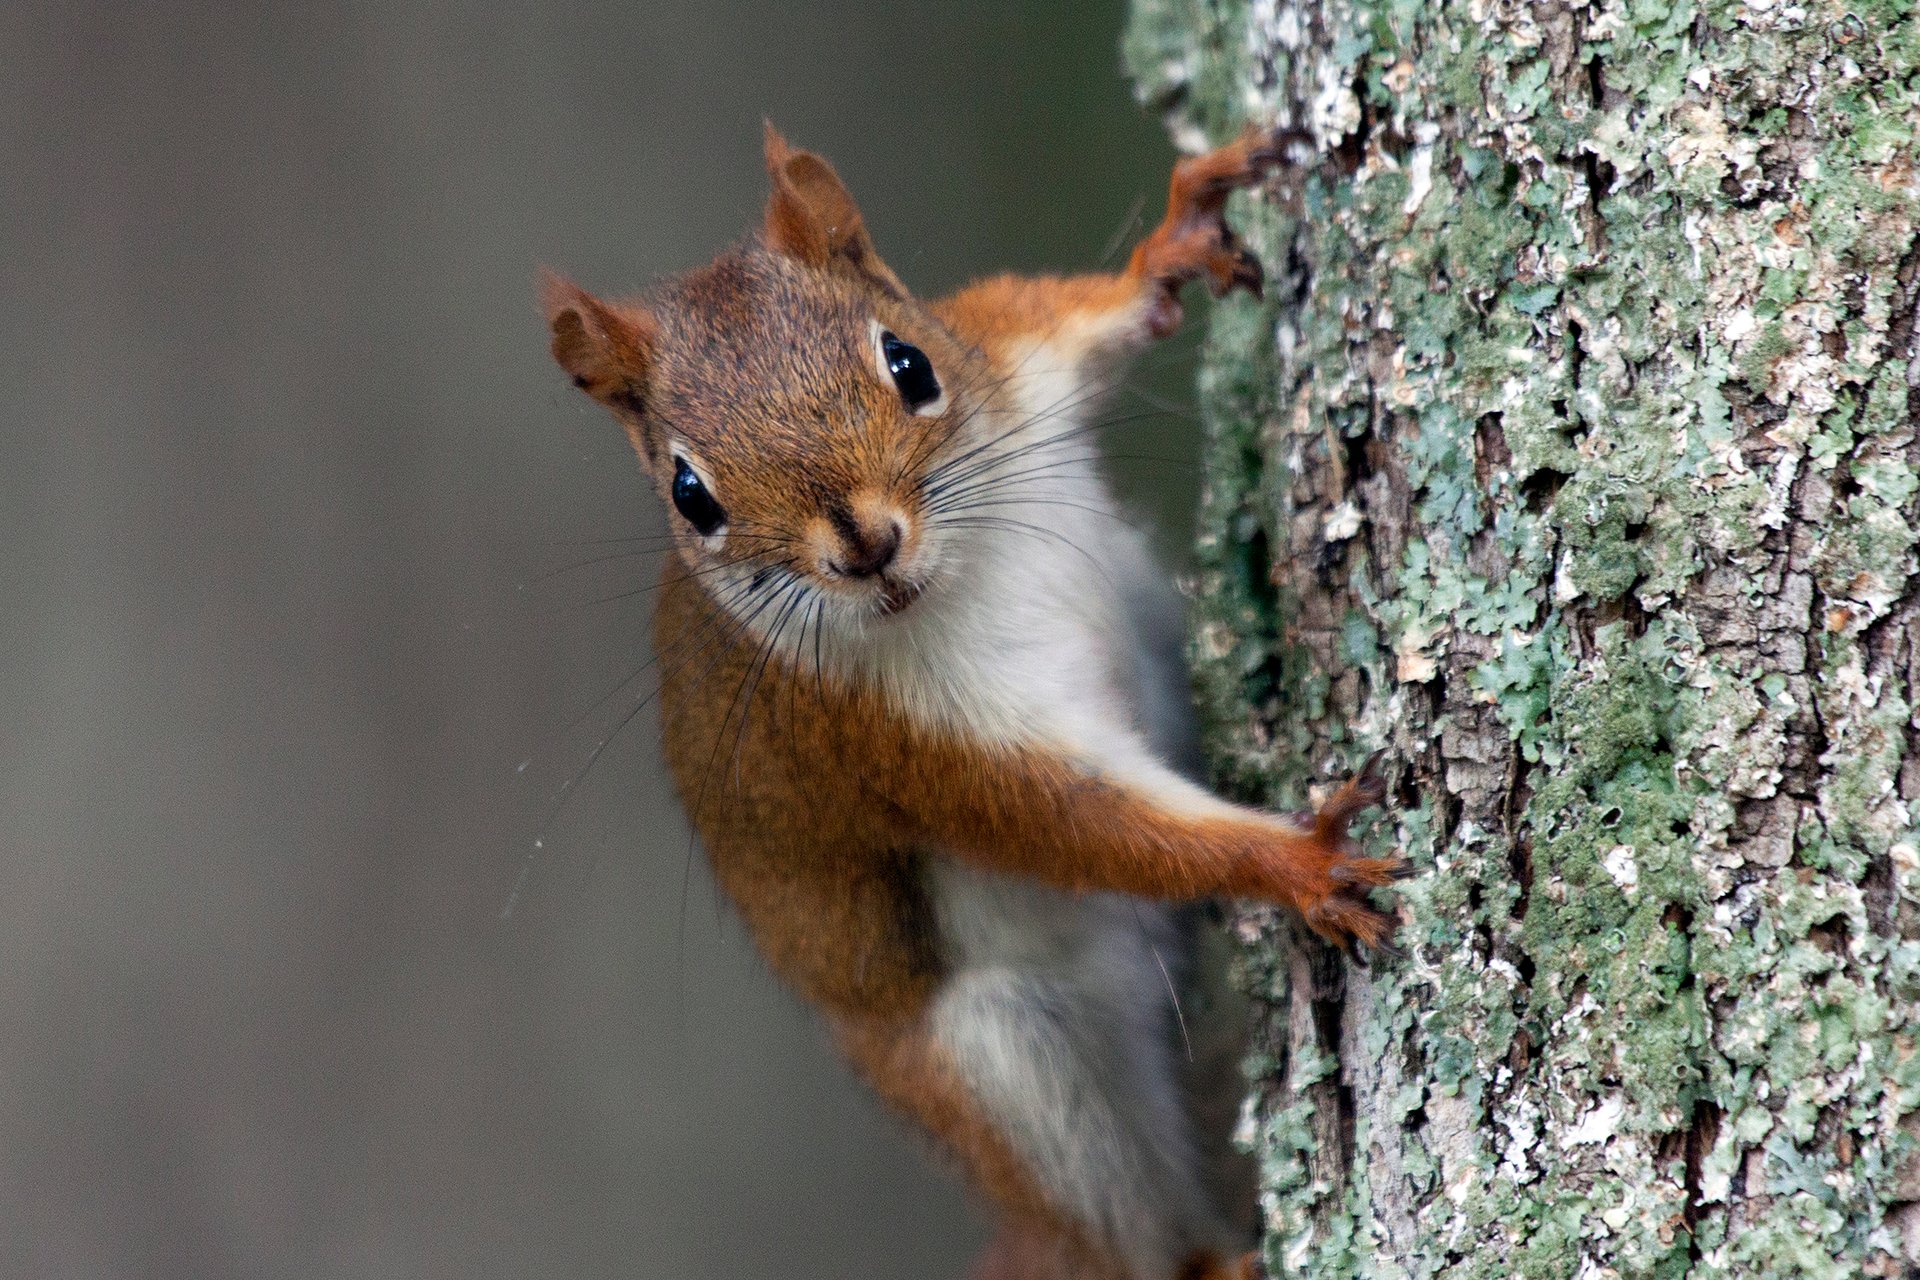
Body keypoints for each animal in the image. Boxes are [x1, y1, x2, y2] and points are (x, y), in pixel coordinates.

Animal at [549, 124, 1405, 1280]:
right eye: (692, 495)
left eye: (908, 363)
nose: (865, 546)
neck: (963, 570)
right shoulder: (893, 741)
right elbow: (1077, 821)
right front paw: (1296, 861)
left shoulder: (1015, 353)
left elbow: (1099, 311)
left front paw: (1175, 242)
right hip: (1016, 1075)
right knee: (1113, 1226)